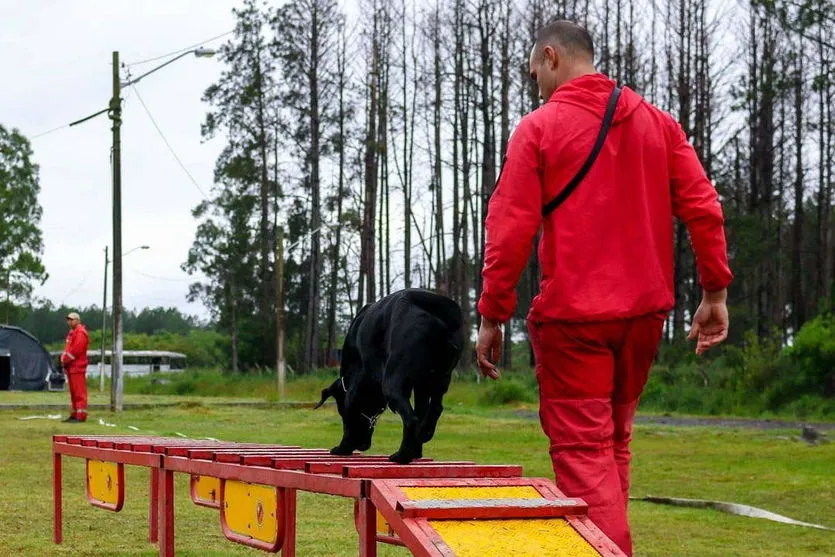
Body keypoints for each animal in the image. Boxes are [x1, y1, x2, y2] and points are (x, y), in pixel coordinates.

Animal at [316, 288, 466, 462]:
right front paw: (417, 451)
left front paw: (343, 447)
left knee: (411, 419)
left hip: (391, 382)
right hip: (441, 378)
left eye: (341, 412)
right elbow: (422, 410)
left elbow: (352, 415)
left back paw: (402, 455)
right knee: (434, 409)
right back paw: (424, 434)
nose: (362, 445)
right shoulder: (420, 386)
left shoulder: (358, 385)